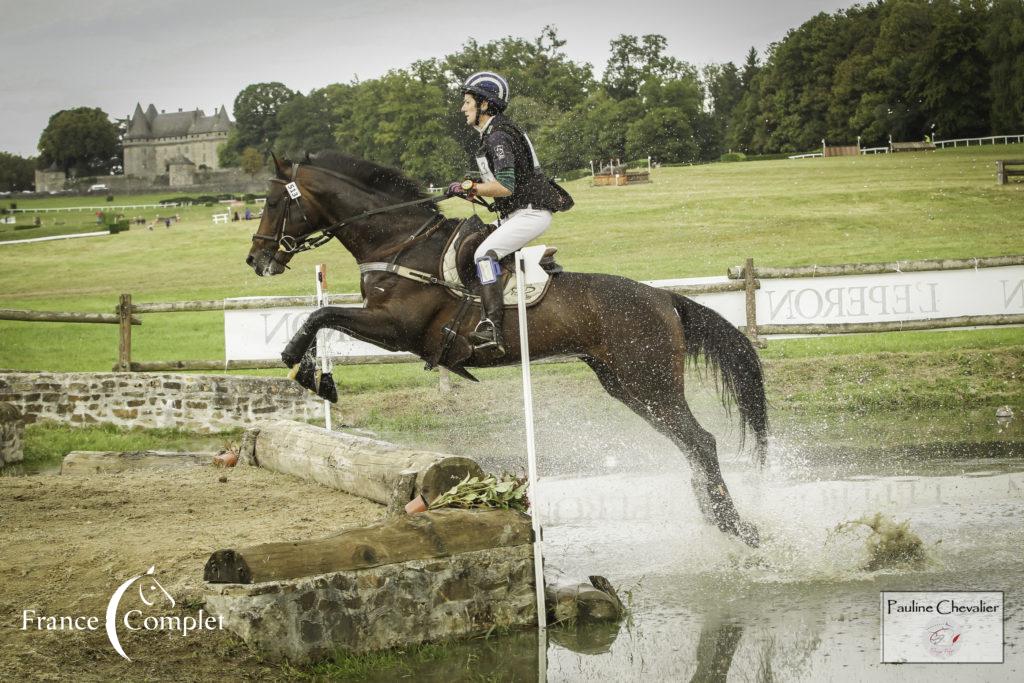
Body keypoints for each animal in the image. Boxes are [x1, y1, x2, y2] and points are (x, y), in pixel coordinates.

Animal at [243, 152, 765, 548]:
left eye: (271, 201)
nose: (256, 259)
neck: (399, 243)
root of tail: (665, 298)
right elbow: (322, 316)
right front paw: (314, 374)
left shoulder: (396, 328)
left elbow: (321, 316)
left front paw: (307, 372)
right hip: (627, 386)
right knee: (688, 444)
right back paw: (714, 515)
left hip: (650, 381)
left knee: (701, 441)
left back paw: (736, 525)